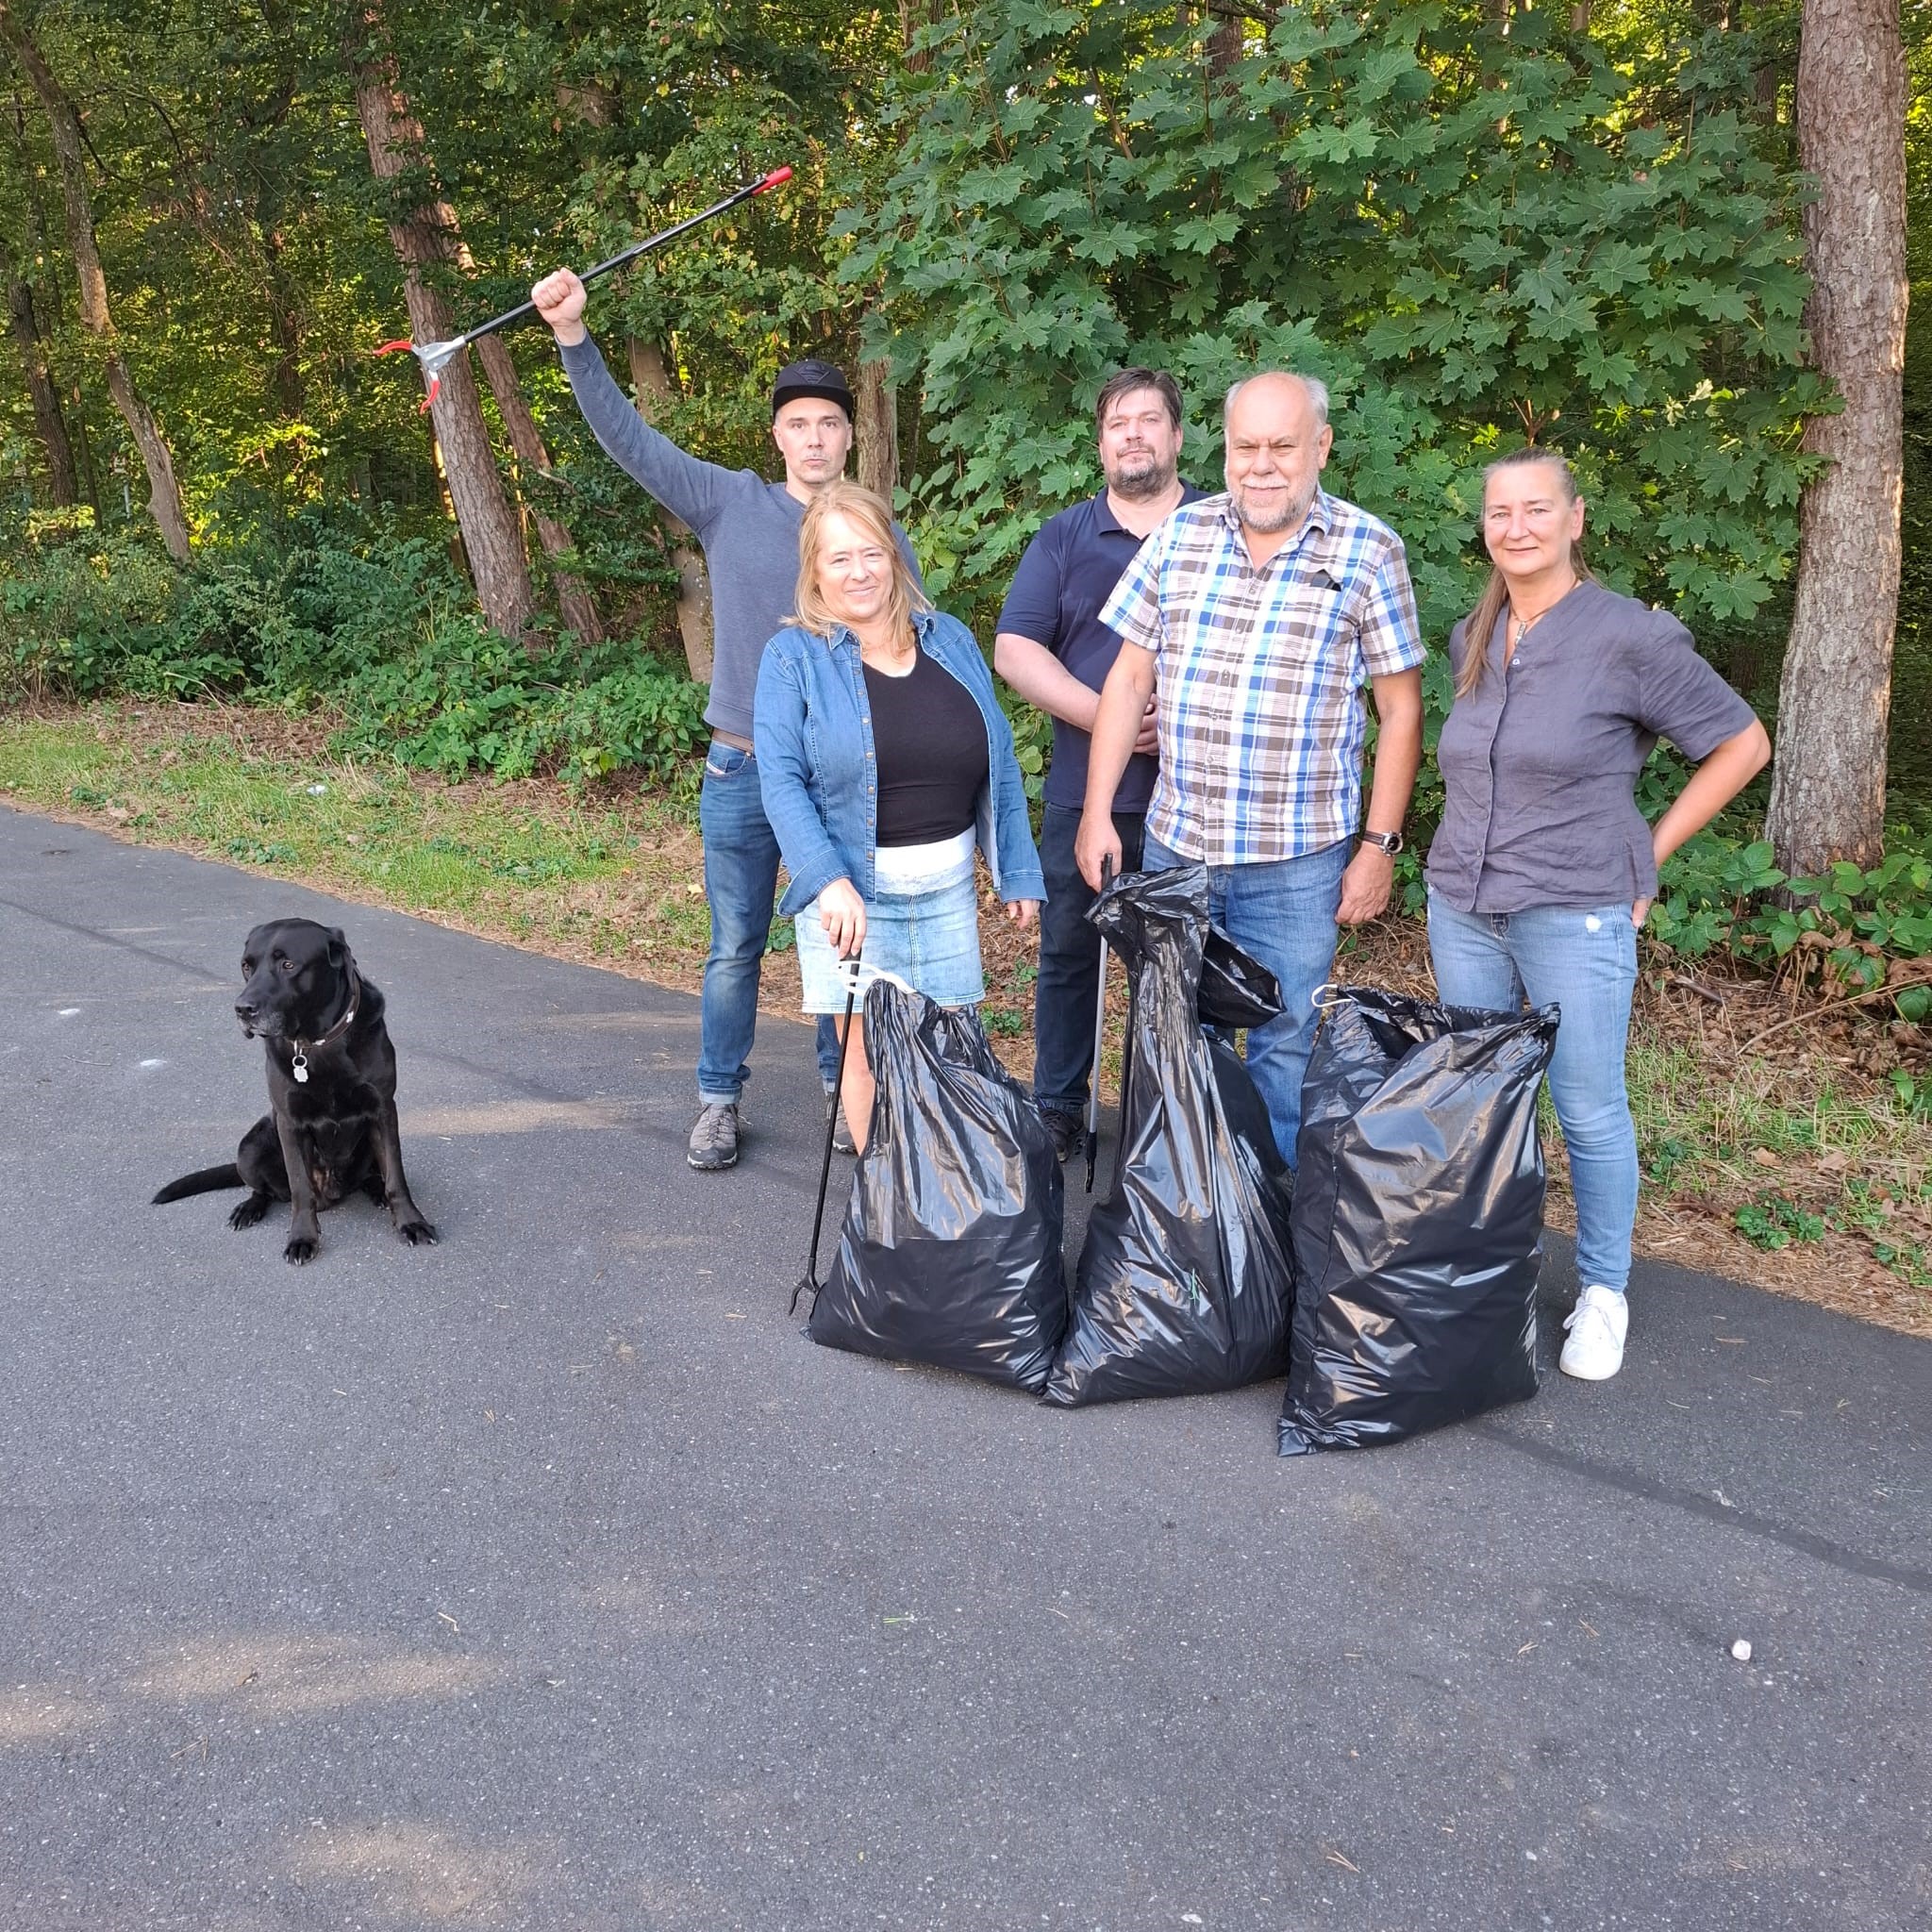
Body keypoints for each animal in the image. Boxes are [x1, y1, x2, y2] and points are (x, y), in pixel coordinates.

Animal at [153, 919, 438, 1267]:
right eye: (246, 966)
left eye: (288, 965)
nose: (242, 1009)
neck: (317, 1043)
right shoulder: (289, 1122)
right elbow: (300, 1187)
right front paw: (302, 1238)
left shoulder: (383, 1110)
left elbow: (396, 1176)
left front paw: (411, 1222)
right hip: (251, 1145)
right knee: (267, 1191)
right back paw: (249, 1208)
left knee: (371, 1174)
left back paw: (375, 1189)